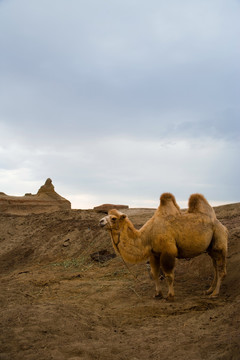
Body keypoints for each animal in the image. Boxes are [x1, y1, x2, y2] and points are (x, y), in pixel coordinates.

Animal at [100, 193, 229, 300]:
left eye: (113, 218)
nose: (100, 221)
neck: (148, 236)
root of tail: (221, 225)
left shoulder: (168, 251)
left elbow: (169, 275)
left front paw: (170, 296)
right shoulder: (154, 254)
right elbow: (154, 274)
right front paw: (158, 294)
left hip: (219, 239)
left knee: (221, 269)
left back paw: (215, 294)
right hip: (210, 248)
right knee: (215, 266)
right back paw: (209, 290)